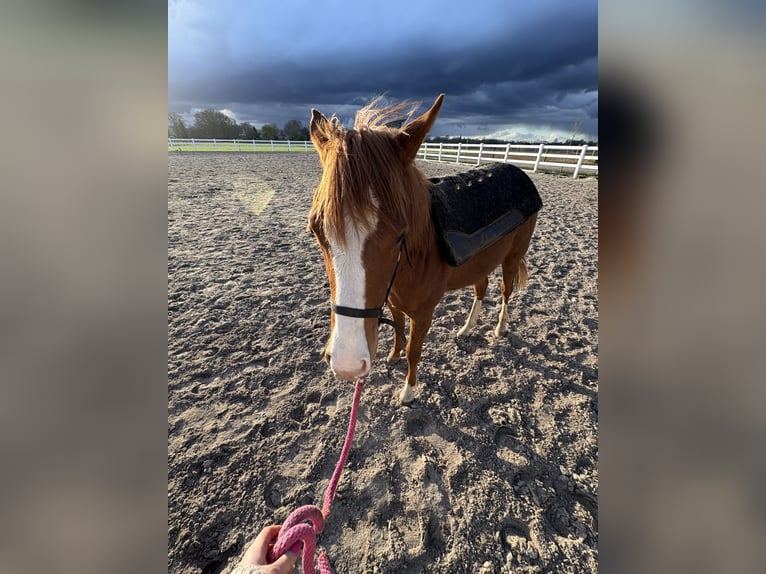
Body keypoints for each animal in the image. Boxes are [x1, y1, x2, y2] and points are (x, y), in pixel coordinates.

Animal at [307, 93, 540, 404]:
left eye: (399, 235)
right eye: (316, 230)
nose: (347, 365)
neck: (414, 259)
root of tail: (518, 171)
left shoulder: (424, 314)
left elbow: (413, 351)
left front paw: (408, 390)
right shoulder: (393, 303)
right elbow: (398, 334)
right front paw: (392, 356)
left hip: (512, 257)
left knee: (505, 292)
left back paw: (499, 327)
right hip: (482, 261)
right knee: (481, 288)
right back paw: (467, 328)